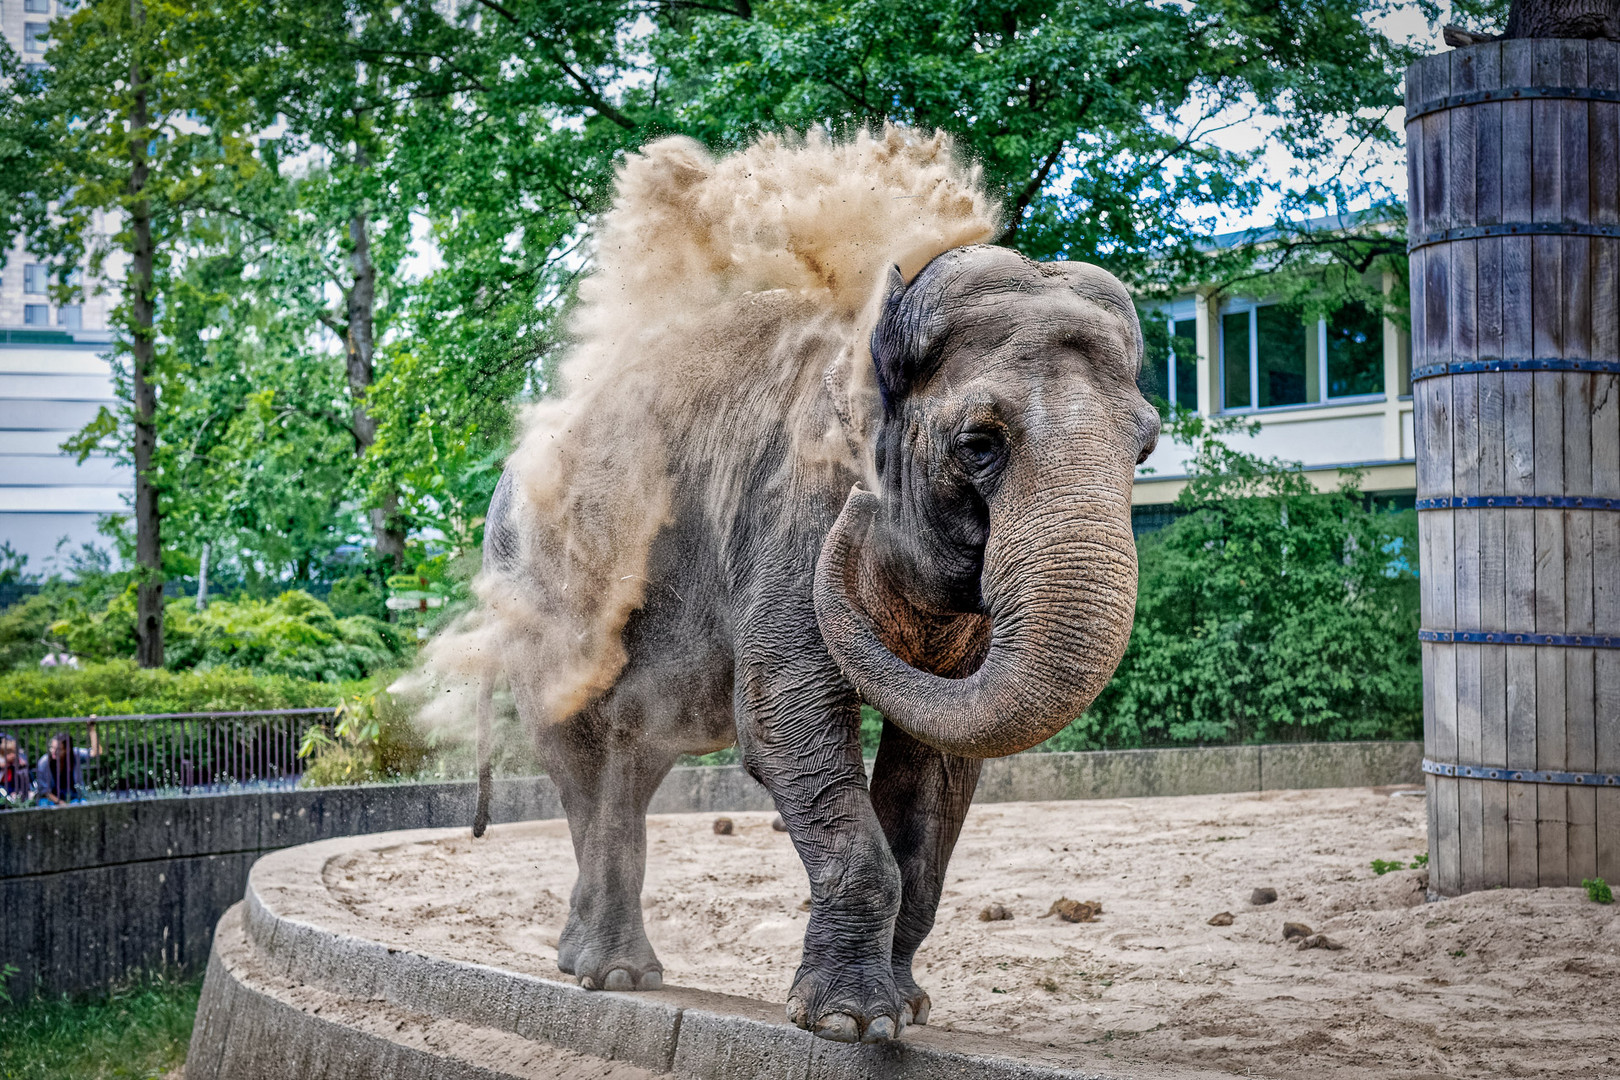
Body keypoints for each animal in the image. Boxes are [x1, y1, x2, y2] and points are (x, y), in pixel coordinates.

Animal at [443, 128, 1153, 1049]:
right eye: (979, 443)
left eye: (1145, 447)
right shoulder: (795, 518)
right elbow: (784, 716)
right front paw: (849, 1024)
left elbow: (940, 766)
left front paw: (904, 1013)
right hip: (541, 610)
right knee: (580, 760)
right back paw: (610, 973)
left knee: (636, 760)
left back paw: (596, 961)